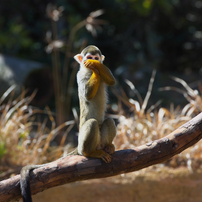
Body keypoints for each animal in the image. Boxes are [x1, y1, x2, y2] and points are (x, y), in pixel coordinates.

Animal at [20, 45, 116, 201]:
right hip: (83, 141)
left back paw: (108, 146)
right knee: (92, 124)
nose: (91, 61)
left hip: (98, 141)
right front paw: (94, 68)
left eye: (96, 57)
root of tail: (79, 147)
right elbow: (87, 94)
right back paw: (89, 153)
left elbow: (112, 81)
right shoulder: (79, 76)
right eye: (89, 57)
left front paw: (96, 66)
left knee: (108, 121)